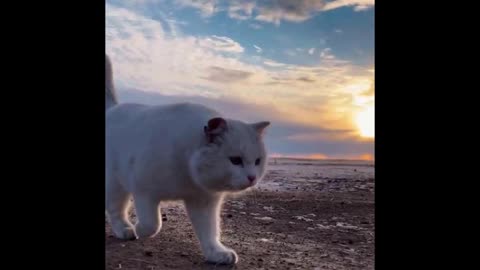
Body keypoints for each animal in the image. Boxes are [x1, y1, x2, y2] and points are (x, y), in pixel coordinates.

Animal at [105, 54, 270, 264]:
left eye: (257, 161)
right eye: (235, 160)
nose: (252, 178)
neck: (187, 167)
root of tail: (113, 109)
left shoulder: (203, 201)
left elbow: (209, 232)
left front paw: (216, 253)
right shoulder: (143, 191)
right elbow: (152, 223)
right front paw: (139, 229)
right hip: (115, 184)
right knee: (115, 208)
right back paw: (125, 229)